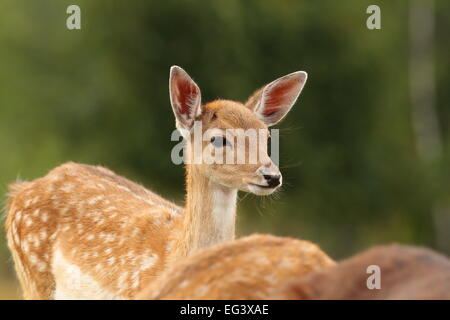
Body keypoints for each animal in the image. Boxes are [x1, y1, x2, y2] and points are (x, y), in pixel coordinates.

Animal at [4, 65, 306, 300]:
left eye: (266, 136)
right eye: (219, 139)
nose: (272, 176)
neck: (175, 256)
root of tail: (19, 191)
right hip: (31, 272)